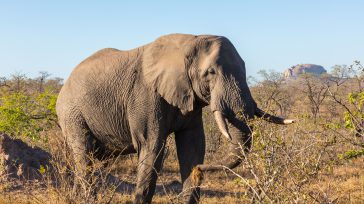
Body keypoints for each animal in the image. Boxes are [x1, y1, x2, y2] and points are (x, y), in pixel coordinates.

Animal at [57, 33, 294, 202]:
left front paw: (193, 169)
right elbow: (152, 146)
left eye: (244, 67)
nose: (201, 170)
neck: (189, 42)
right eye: (211, 73)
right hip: (71, 114)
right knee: (84, 156)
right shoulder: (145, 95)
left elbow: (193, 146)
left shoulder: (190, 98)